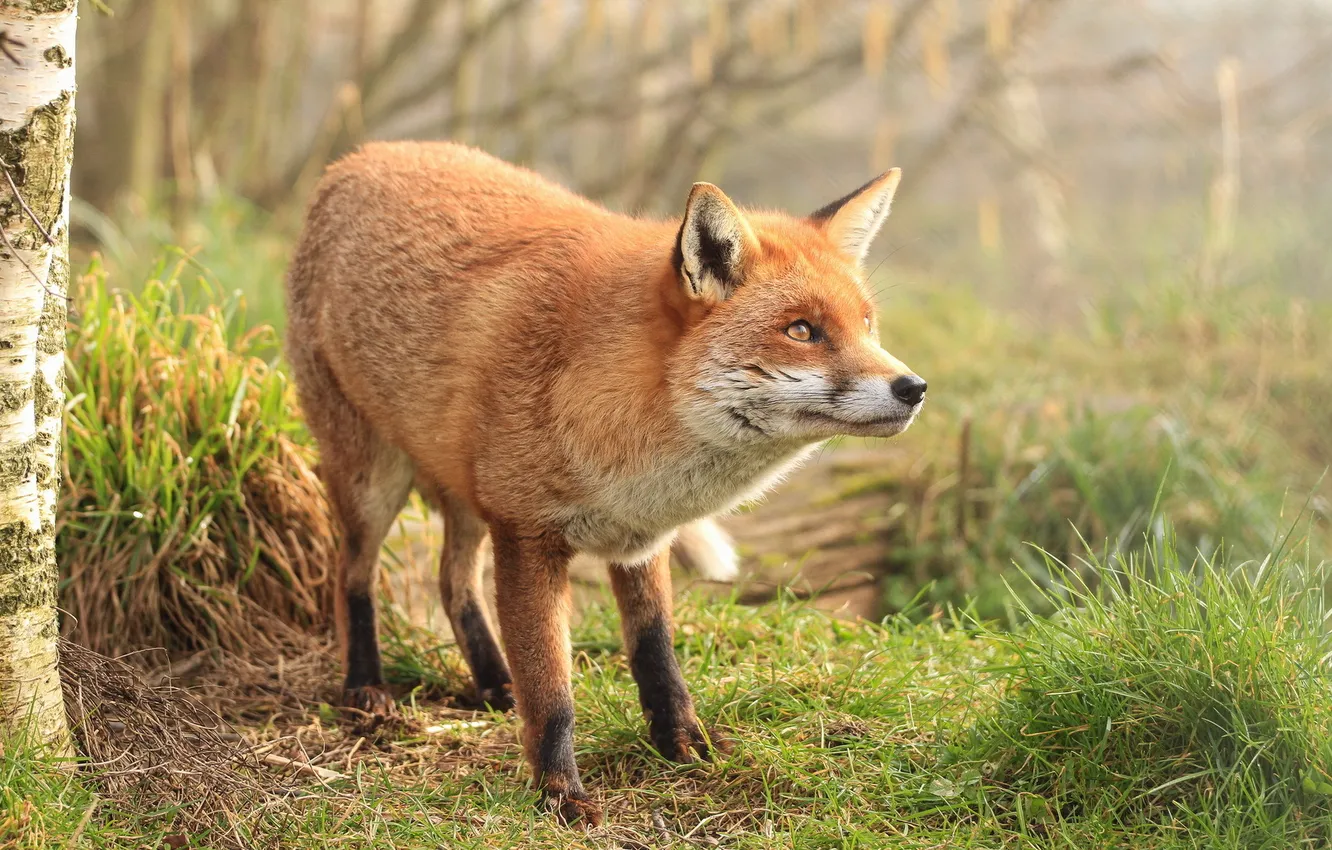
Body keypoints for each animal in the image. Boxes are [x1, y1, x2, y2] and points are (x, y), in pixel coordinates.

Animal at [285, 141, 926, 827]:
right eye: (802, 330)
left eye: (867, 325)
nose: (913, 388)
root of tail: (358, 156)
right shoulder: (527, 536)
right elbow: (554, 693)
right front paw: (559, 793)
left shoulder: (640, 539)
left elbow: (657, 657)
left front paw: (687, 747)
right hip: (371, 482)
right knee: (352, 575)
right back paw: (366, 688)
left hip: (466, 495)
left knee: (452, 581)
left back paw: (494, 682)